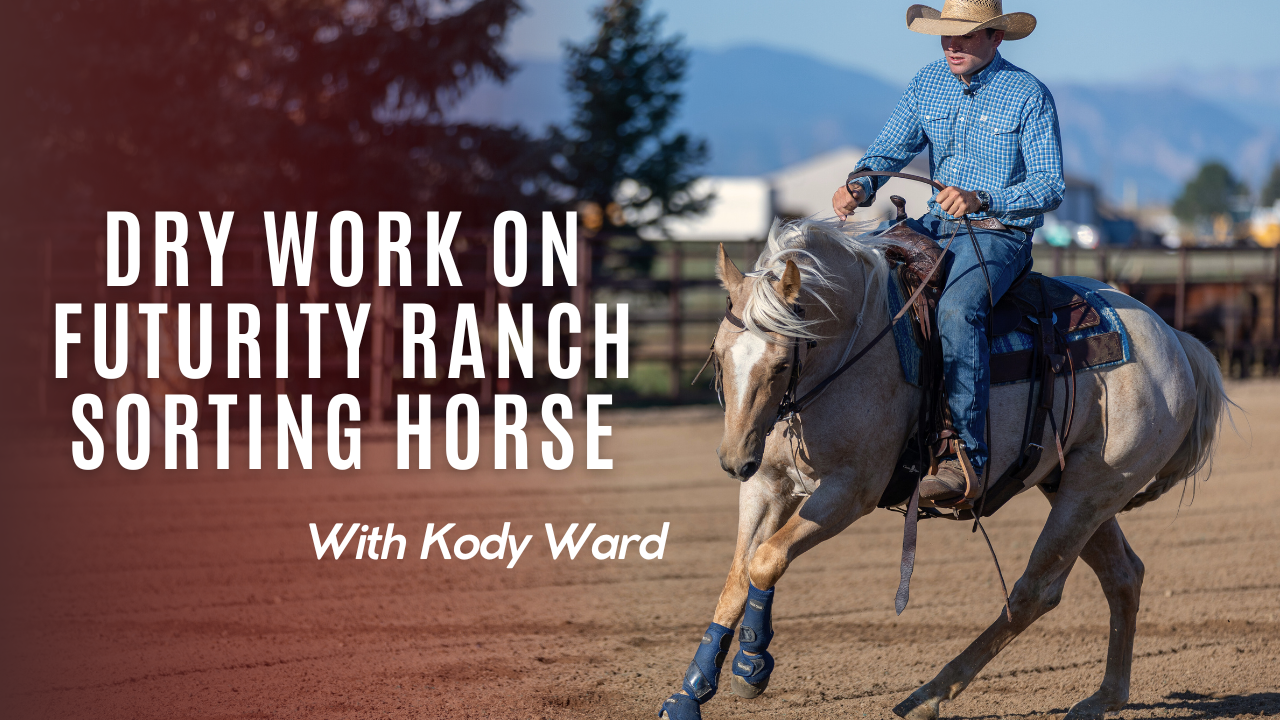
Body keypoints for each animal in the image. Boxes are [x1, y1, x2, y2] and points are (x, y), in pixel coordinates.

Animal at [659, 217, 1229, 720]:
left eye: (780, 363)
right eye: (718, 352)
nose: (733, 459)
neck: (851, 348)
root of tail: (1174, 341)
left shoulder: (849, 493)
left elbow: (767, 560)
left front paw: (752, 667)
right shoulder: (767, 484)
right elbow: (738, 576)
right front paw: (690, 694)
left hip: (1091, 492)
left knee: (1035, 592)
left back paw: (928, 694)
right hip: (1073, 486)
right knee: (1123, 576)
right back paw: (1103, 698)